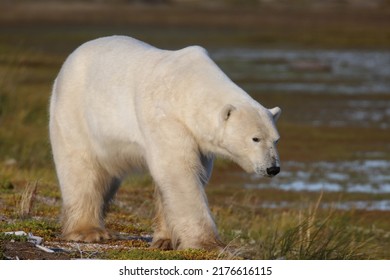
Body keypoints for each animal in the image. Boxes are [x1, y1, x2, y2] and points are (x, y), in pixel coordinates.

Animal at [49, 36, 280, 250]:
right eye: (255, 138)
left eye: (275, 139)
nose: (273, 168)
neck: (189, 87)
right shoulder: (165, 116)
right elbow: (179, 173)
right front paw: (208, 243)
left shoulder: (198, 140)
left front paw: (165, 240)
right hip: (75, 109)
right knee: (80, 167)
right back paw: (88, 231)